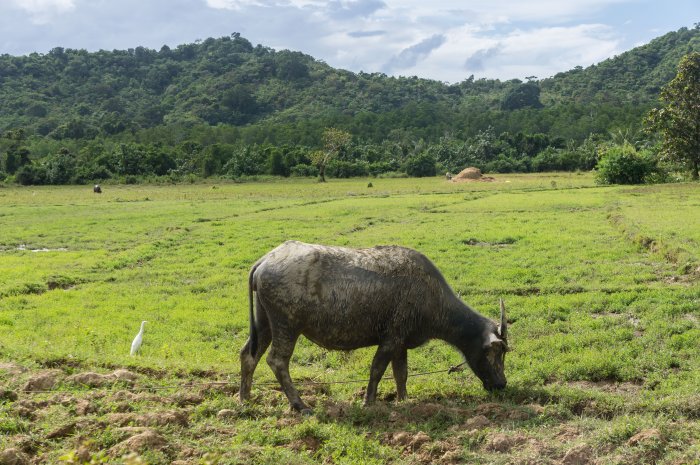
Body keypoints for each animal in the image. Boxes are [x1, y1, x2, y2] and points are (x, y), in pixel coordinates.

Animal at [241, 241, 508, 412]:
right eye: (496, 352)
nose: (502, 384)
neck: (430, 296)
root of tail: (266, 260)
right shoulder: (390, 340)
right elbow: (377, 370)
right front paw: (368, 402)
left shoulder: (401, 344)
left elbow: (401, 373)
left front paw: (403, 400)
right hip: (286, 326)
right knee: (277, 361)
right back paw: (300, 405)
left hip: (264, 323)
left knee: (249, 355)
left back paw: (245, 400)